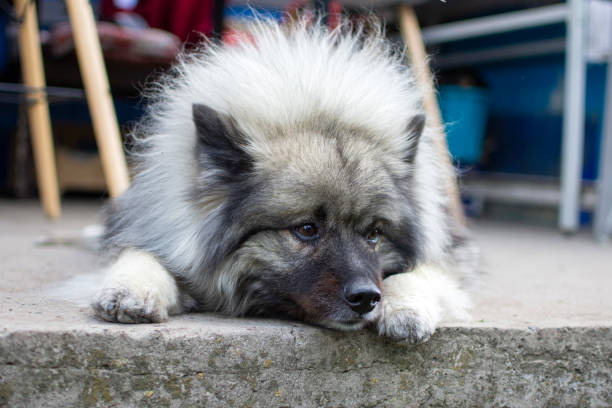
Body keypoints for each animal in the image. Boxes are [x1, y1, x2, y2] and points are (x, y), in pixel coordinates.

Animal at [92, 19, 478, 344]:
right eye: (306, 229)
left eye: (374, 234)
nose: (366, 298)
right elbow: (140, 253)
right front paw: (130, 289)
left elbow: (422, 272)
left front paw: (404, 307)